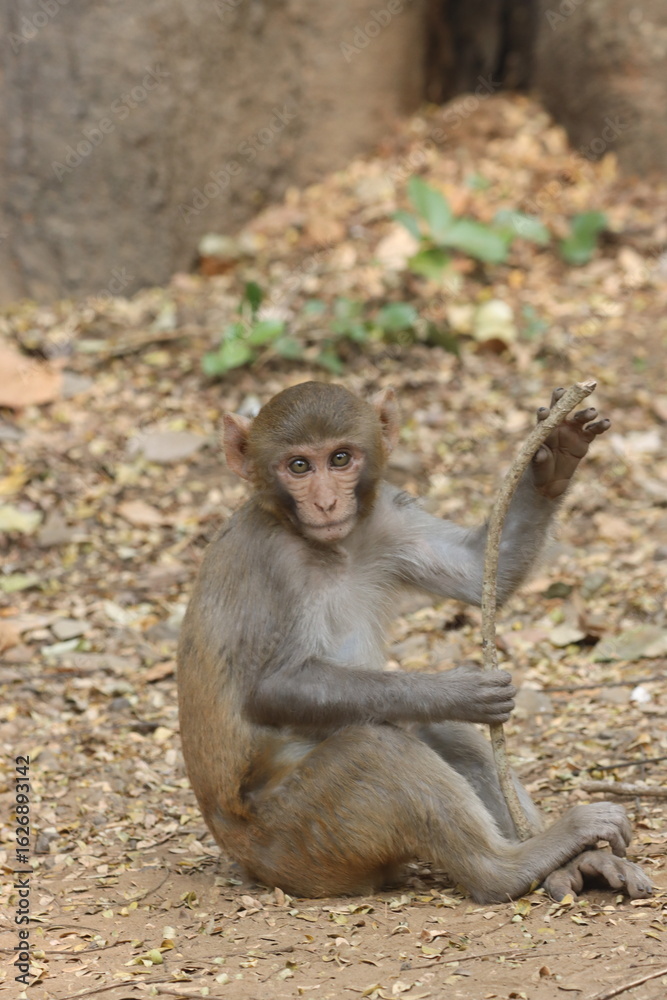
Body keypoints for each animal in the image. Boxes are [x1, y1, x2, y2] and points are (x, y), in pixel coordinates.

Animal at [177, 381, 652, 904]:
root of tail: (242, 855)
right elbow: (271, 688)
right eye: (298, 466)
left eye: (340, 459)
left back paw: (573, 862)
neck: (324, 545)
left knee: (436, 734)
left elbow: (479, 572)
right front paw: (457, 691)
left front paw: (556, 454)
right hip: (294, 839)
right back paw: (509, 867)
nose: (325, 503)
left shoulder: (385, 516)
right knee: (377, 751)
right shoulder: (269, 559)